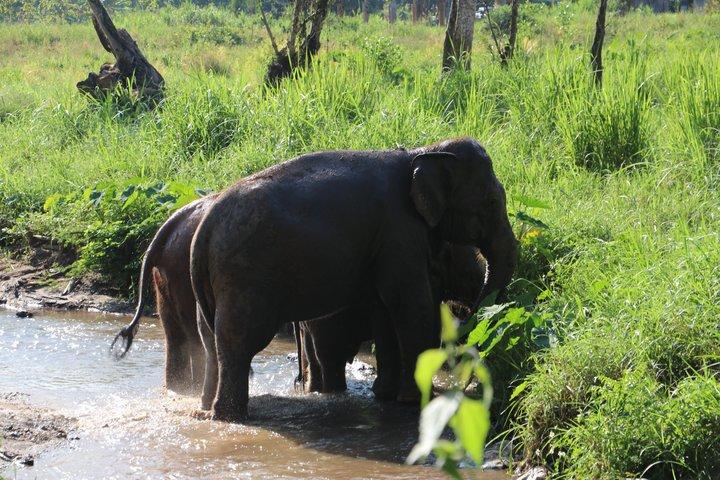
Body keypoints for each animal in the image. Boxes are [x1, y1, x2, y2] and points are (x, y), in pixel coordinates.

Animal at [112, 195, 217, 394]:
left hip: (168, 270)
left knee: (174, 334)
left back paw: (178, 389)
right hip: (183, 271)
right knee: (193, 336)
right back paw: (194, 390)